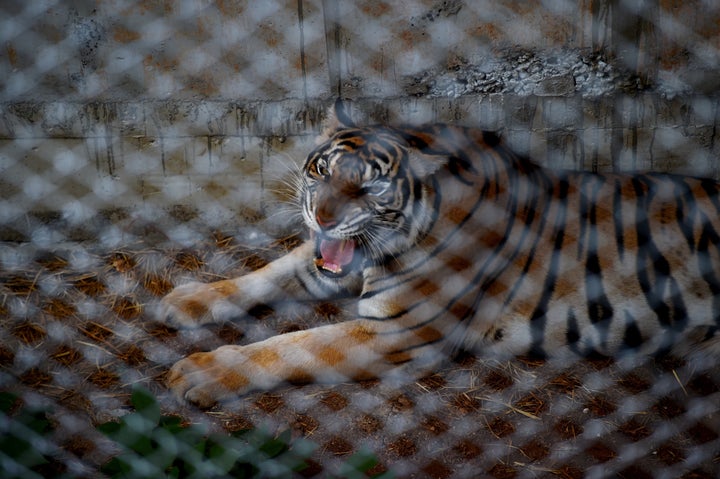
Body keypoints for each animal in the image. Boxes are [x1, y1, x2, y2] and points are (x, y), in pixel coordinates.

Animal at [160, 102, 720, 408]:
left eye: (370, 188)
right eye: (321, 171)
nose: (322, 217)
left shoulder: (398, 330)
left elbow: (293, 346)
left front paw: (202, 373)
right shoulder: (324, 267)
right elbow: (262, 275)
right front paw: (186, 300)